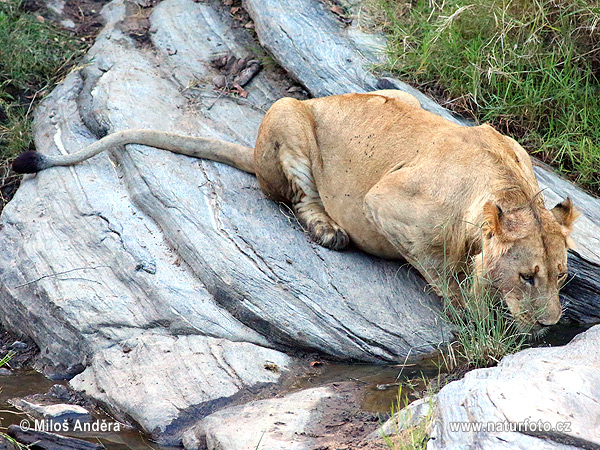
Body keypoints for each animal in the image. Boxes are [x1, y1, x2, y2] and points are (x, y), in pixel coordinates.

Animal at [12, 89, 576, 328]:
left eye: (563, 277)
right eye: (527, 276)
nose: (551, 325)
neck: (502, 185)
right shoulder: (385, 203)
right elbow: (441, 272)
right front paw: (472, 309)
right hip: (287, 114)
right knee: (295, 198)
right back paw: (329, 232)